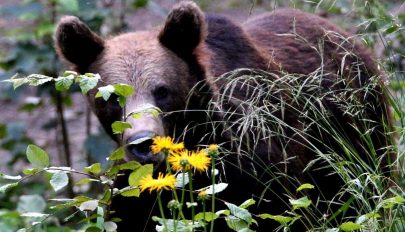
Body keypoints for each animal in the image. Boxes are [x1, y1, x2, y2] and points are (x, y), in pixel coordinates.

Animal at [53, 0, 392, 231]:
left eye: (161, 90)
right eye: (111, 97)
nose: (144, 143)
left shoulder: (262, 166)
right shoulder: (139, 193)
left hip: (359, 135)